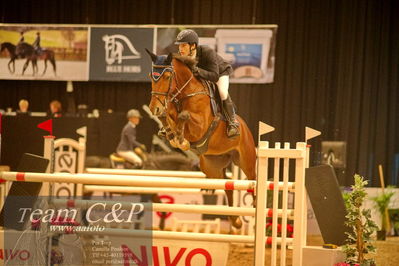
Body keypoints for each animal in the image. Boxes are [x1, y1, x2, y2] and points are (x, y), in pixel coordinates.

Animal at [146, 50, 256, 229]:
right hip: (212, 167)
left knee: (254, 182)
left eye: (167, 76)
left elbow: (184, 116)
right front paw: (172, 134)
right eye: (151, 76)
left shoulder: (200, 126)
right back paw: (236, 221)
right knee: (227, 184)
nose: (153, 108)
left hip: (246, 161)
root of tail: (246, 128)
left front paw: (180, 139)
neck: (185, 93)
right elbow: (168, 117)